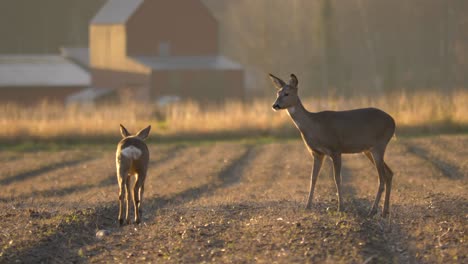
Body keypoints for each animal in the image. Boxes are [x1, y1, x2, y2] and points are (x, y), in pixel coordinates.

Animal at [268, 73, 396, 218]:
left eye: (287, 93)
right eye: (277, 92)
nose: (275, 105)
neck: (315, 127)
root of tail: (393, 122)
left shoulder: (336, 149)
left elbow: (337, 179)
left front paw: (341, 207)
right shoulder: (317, 153)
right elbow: (313, 178)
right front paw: (307, 206)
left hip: (379, 145)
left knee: (382, 178)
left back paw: (373, 211)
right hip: (368, 150)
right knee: (389, 173)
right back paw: (385, 211)